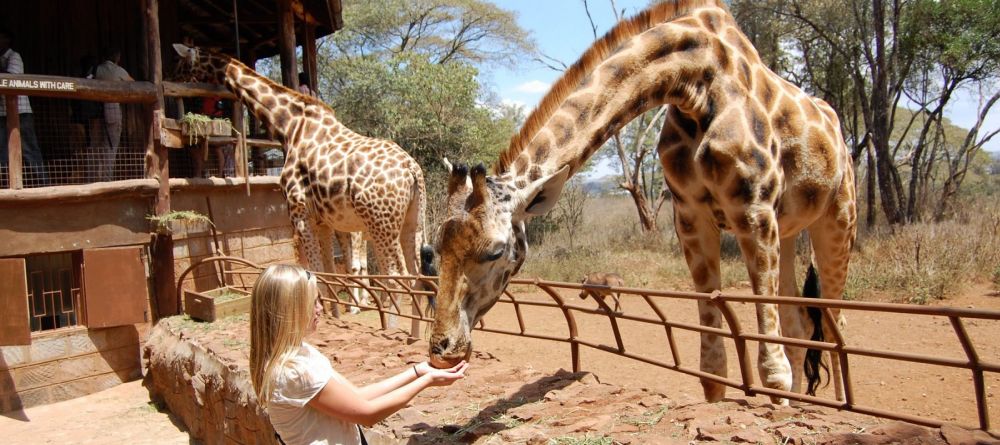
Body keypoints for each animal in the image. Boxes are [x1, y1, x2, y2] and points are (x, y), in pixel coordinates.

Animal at [174, 46, 428, 336]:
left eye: (181, 64)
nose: (176, 83)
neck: (289, 126)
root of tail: (411, 169)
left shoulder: (298, 213)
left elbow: (316, 273)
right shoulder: (323, 221)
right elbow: (330, 272)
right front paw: (334, 315)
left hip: (380, 223)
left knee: (396, 276)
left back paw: (392, 330)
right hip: (411, 221)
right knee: (417, 274)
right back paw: (414, 334)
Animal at [426, 0, 856, 404]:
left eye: (496, 251)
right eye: (436, 248)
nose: (441, 349)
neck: (695, 82)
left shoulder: (753, 209)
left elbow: (772, 367)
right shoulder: (690, 217)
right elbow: (712, 366)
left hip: (837, 220)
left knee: (834, 323)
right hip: (789, 229)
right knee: (800, 321)